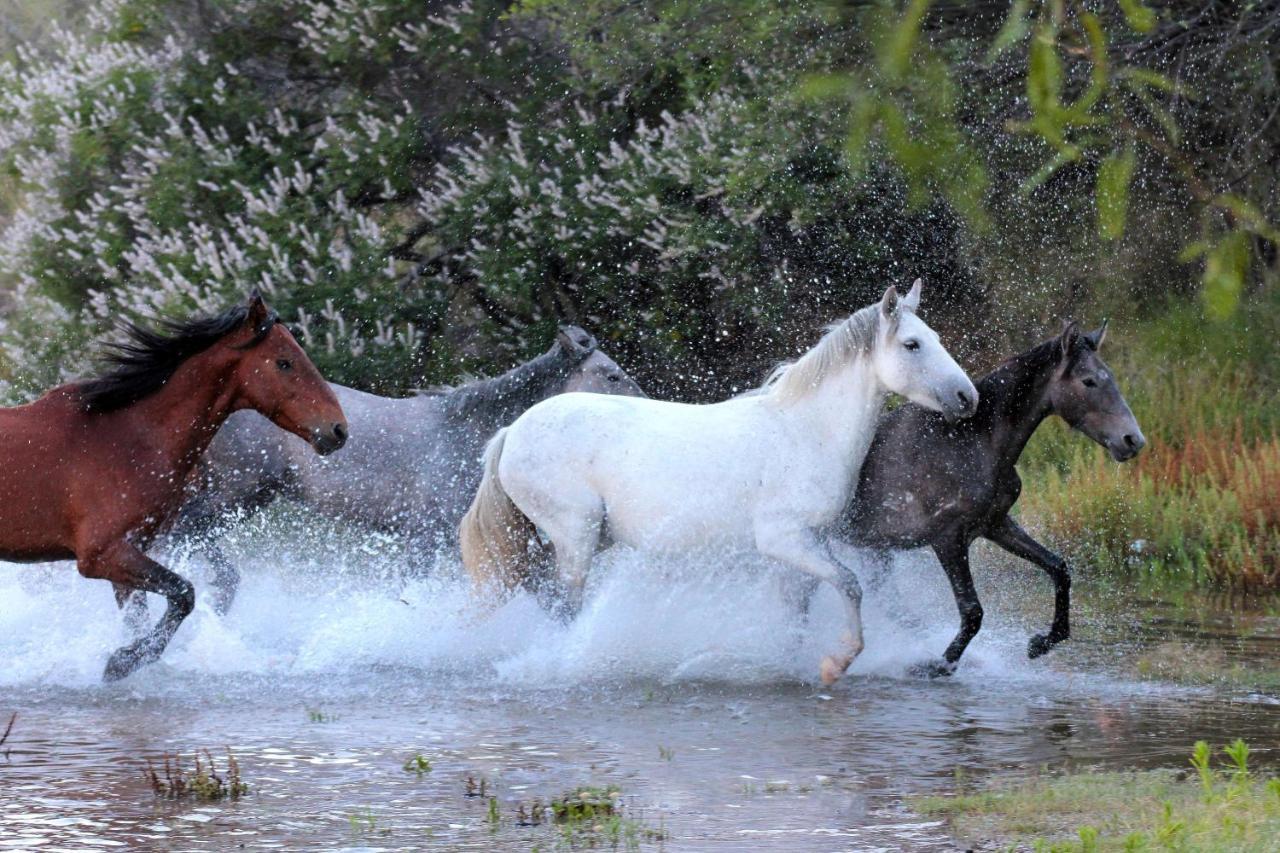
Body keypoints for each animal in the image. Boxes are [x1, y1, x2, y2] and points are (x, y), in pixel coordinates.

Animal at [0, 290, 348, 676]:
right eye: (284, 363)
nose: (337, 429)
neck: (128, 438)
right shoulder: (103, 554)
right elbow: (184, 594)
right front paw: (123, 661)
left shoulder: (129, 551)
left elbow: (141, 616)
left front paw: (130, 659)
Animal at [465, 281, 972, 681]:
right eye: (912, 344)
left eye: (934, 337)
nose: (968, 397)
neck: (804, 431)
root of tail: (512, 432)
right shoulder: (786, 539)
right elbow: (850, 584)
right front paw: (838, 662)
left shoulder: (804, 548)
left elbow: (798, 609)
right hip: (576, 536)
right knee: (563, 604)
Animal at [808, 318, 1141, 671]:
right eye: (1088, 381)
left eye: (1110, 376)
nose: (1133, 440)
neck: (978, 442)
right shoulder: (948, 538)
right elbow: (972, 612)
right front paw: (936, 667)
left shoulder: (993, 524)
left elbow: (1058, 568)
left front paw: (1041, 642)